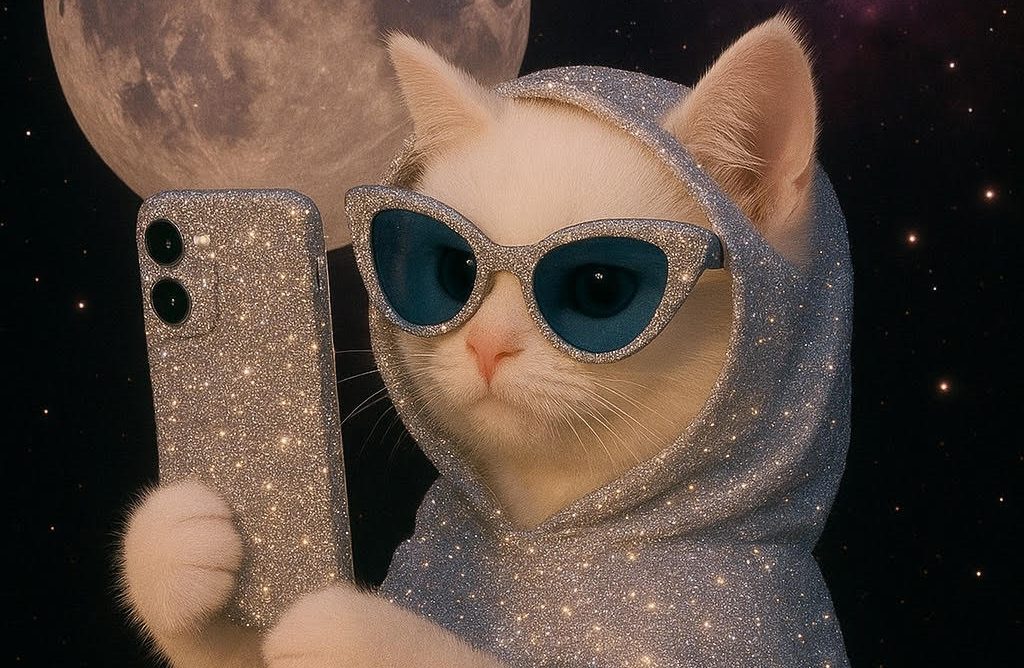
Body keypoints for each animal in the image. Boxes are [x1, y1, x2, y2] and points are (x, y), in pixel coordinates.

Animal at [121, 13, 839, 667]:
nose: (487, 345)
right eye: (454, 270)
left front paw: (354, 632)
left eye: (600, 287)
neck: (539, 530)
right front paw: (172, 546)